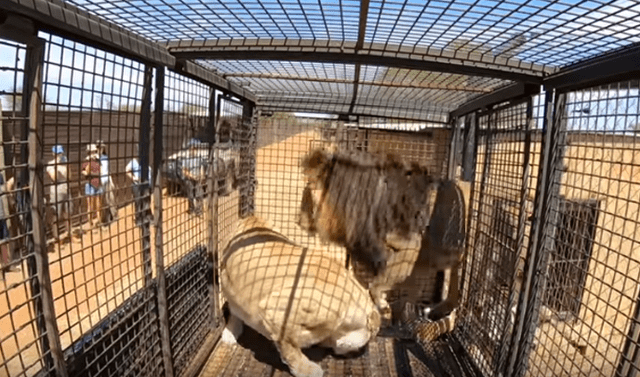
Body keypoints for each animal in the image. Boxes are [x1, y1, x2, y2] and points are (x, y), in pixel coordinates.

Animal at [220, 214, 380, 376]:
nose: (362, 351)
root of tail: (252, 217)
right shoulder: (278, 312)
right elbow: (290, 347)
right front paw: (306, 369)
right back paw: (231, 331)